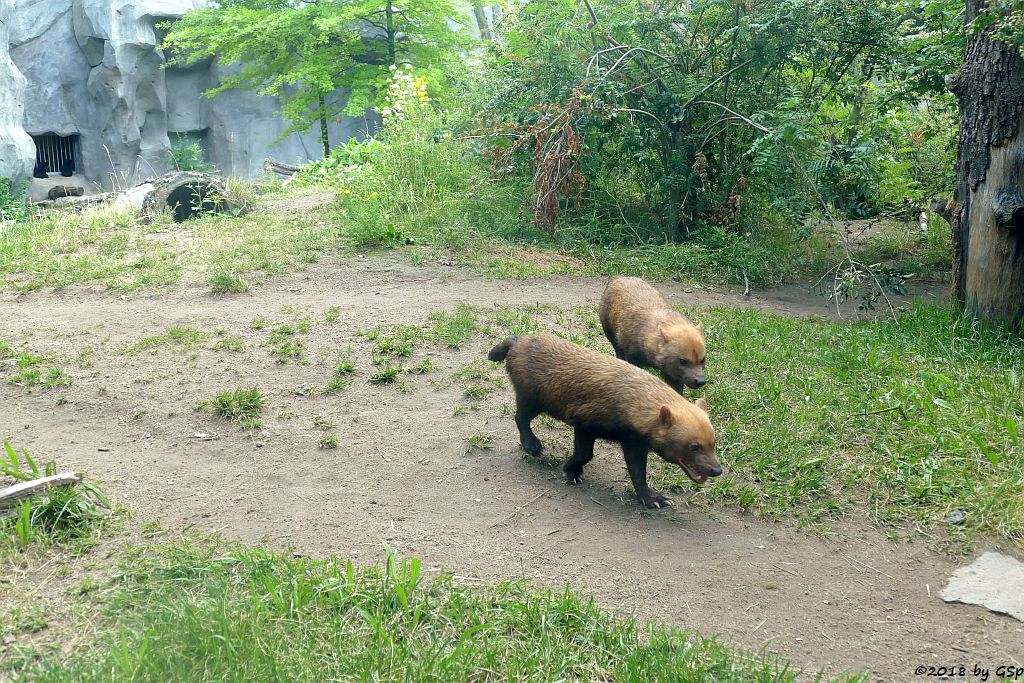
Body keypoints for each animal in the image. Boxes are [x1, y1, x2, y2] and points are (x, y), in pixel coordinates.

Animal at [489, 333, 720, 509]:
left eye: (713, 443)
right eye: (694, 446)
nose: (716, 470)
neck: (632, 401)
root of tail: (518, 340)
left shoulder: (634, 444)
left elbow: (638, 473)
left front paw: (652, 498)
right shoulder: (584, 424)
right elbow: (585, 454)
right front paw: (570, 470)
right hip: (530, 399)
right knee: (520, 418)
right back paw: (532, 445)